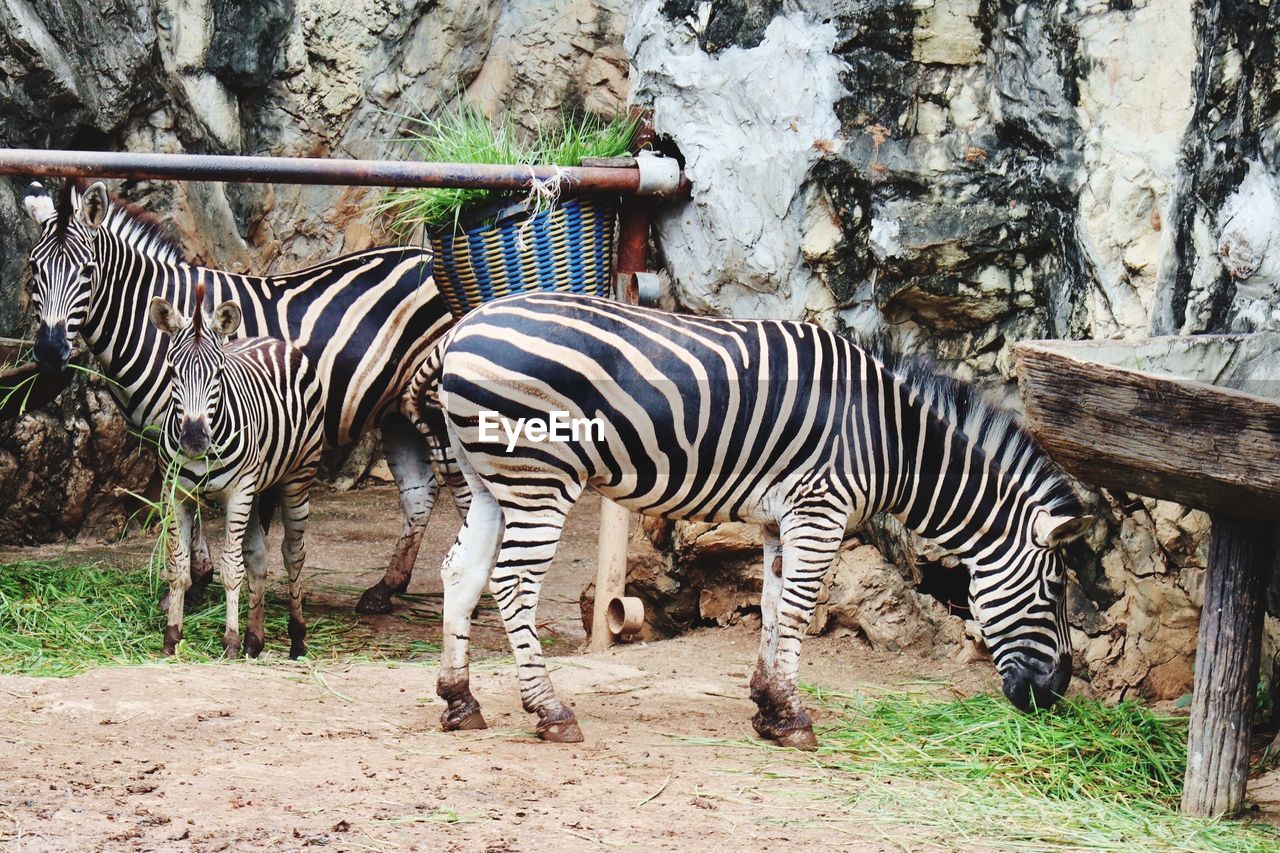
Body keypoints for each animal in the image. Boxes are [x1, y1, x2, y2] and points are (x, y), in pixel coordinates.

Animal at [414, 290, 1095, 742]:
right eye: (1052, 589)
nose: (1055, 694)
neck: (891, 441)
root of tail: (459, 328)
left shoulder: (781, 519)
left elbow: (771, 605)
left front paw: (768, 706)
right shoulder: (820, 509)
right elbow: (796, 610)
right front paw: (794, 718)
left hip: (489, 481)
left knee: (460, 573)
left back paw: (459, 701)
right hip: (539, 478)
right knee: (513, 584)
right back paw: (550, 711)